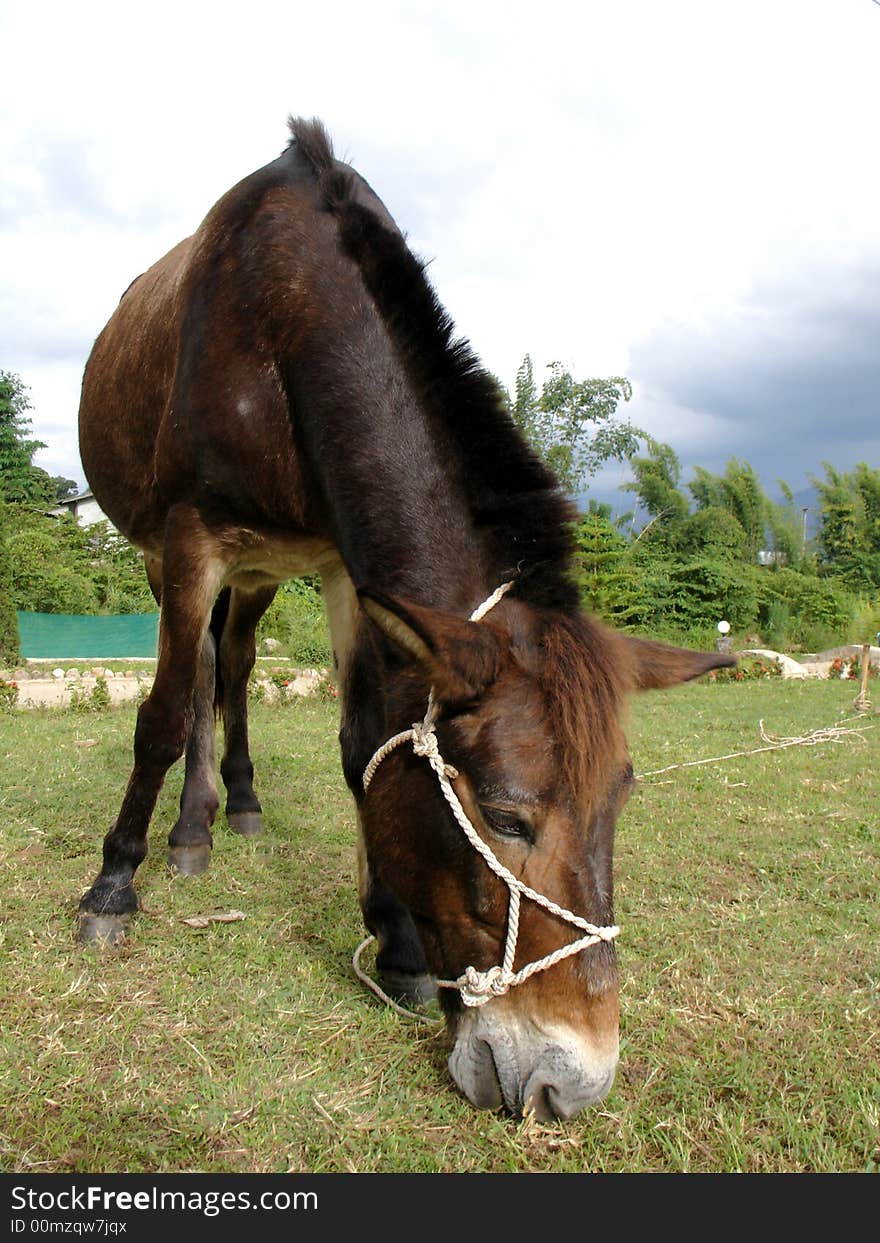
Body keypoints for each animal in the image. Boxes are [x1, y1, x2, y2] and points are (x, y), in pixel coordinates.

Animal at [77, 121, 735, 1123]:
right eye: (503, 817)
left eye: (620, 804)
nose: (572, 1082)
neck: (286, 316)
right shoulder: (190, 541)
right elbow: (156, 716)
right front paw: (112, 885)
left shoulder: (346, 566)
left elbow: (363, 744)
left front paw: (394, 942)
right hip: (175, 558)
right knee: (196, 678)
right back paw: (183, 834)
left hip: (265, 572)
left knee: (234, 663)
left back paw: (228, 811)